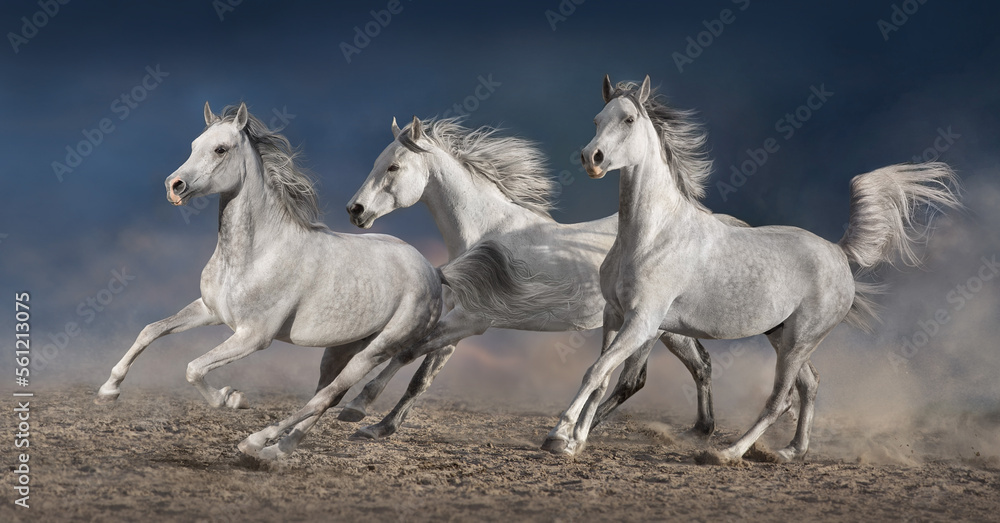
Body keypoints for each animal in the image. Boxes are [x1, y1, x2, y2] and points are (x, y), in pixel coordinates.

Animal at [94, 102, 525, 460]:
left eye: (220, 149)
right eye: (194, 144)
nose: (175, 186)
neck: (256, 252)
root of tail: (434, 271)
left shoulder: (253, 336)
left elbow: (193, 368)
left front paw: (232, 399)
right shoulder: (210, 311)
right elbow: (151, 331)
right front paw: (108, 391)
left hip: (376, 349)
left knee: (330, 397)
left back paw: (257, 441)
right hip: (339, 349)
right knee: (324, 397)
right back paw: (276, 450)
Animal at [342, 115, 748, 441]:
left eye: (394, 167)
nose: (355, 210)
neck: (487, 232)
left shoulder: (472, 320)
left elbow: (409, 351)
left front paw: (358, 407)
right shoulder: (460, 322)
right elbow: (422, 376)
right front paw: (380, 426)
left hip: (650, 328)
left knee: (633, 379)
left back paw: (574, 431)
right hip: (668, 327)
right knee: (698, 365)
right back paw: (698, 431)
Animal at [542, 75, 961, 462]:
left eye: (628, 119)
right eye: (597, 119)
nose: (591, 158)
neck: (652, 235)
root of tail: (839, 252)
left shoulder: (643, 322)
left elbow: (597, 372)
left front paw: (558, 438)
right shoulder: (615, 315)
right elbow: (601, 377)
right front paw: (573, 442)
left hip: (798, 341)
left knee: (780, 399)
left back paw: (728, 453)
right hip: (783, 336)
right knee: (809, 385)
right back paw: (791, 452)